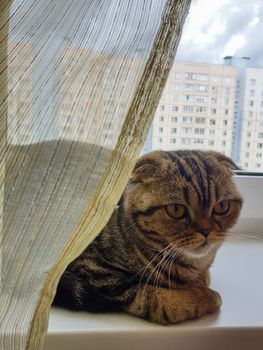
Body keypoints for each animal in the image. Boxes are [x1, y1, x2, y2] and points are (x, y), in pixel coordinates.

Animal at [53, 149, 243, 324]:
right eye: (176, 209)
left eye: (222, 206)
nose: (205, 231)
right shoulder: (96, 271)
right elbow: (155, 300)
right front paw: (205, 297)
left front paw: (201, 280)